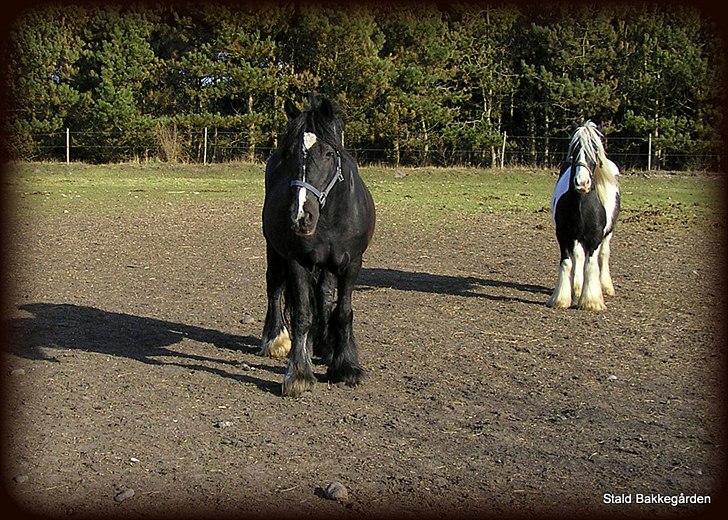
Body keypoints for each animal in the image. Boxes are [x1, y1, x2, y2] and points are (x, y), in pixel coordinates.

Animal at [258, 93, 376, 396]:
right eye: (289, 155)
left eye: (329, 154)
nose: (301, 216)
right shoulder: (297, 261)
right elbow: (302, 314)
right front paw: (299, 373)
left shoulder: (351, 263)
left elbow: (342, 311)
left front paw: (346, 366)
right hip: (274, 250)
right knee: (275, 287)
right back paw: (276, 339)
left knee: (322, 294)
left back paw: (325, 345)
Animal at [552, 120, 620, 310]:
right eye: (574, 150)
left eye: (594, 150)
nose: (582, 183)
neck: (583, 205)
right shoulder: (563, 235)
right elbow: (567, 262)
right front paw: (561, 299)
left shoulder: (595, 237)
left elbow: (591, 264)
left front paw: (591, 301)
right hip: (576, 237)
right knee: (578, 257)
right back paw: (576, 287)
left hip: (607, 234)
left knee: (603, 255)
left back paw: (605, 287)